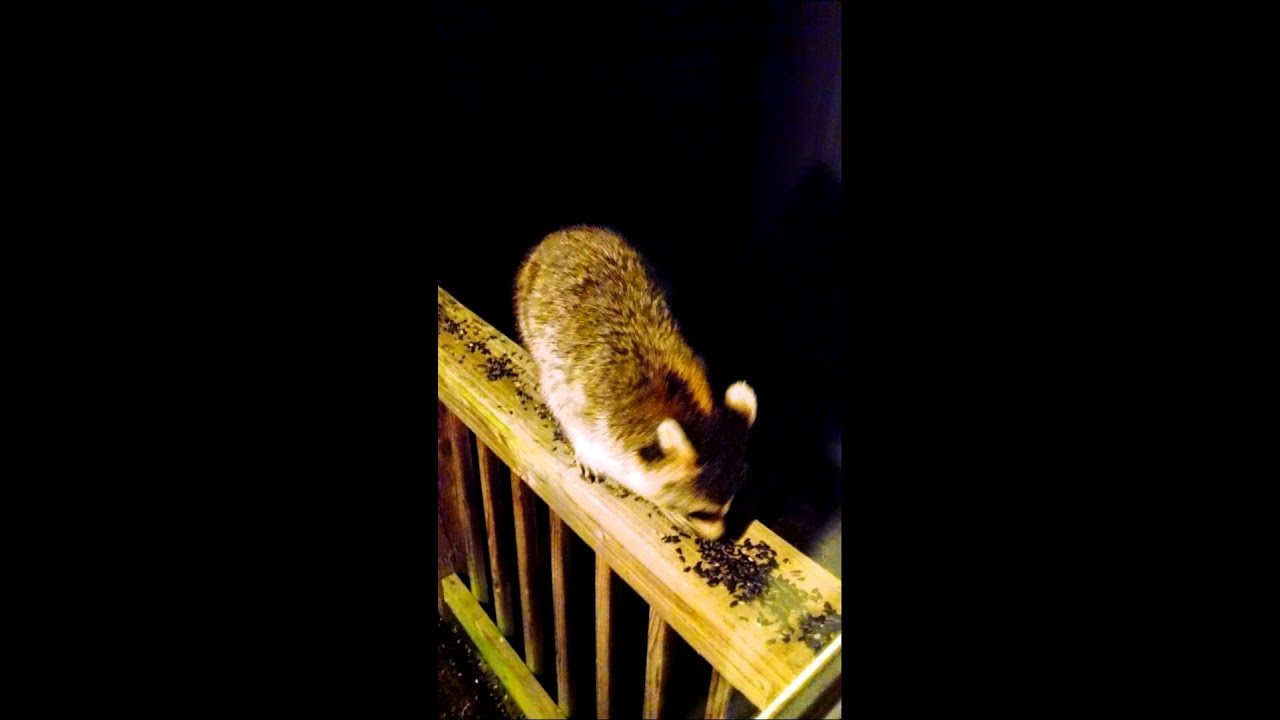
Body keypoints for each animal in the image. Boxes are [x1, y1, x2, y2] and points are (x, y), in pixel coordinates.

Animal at [514, 226, 757, 541]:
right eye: (701, 513)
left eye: (727, 507)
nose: (720, 537)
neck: (679, 401)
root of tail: (568, 232)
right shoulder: (578, 392)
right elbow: (570, 414)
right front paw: (586, 450)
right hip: (526, 296)